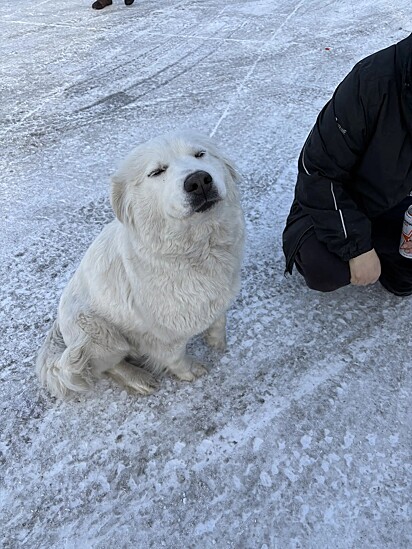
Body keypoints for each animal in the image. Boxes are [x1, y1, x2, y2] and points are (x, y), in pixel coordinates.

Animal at [36, 133, 245, 398]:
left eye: (200, 154)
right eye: (157, 172)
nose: (198, 180)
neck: (198, 248)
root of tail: (60, 325)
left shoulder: (220, 295)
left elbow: (219, 321)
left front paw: (217, 343)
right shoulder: (163, 335)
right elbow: (176, 357)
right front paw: (190, 371)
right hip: (103, 338)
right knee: (104, 367)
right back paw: (138, 379)